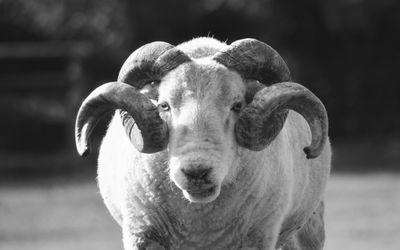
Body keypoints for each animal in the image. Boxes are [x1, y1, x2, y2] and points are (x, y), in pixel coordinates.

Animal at [75, 37, 332, 250]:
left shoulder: (258, 237)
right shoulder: (141, 234)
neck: (200, 226)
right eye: (164, 105)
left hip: (308, 230)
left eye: (237, 105)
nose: (196, 172)